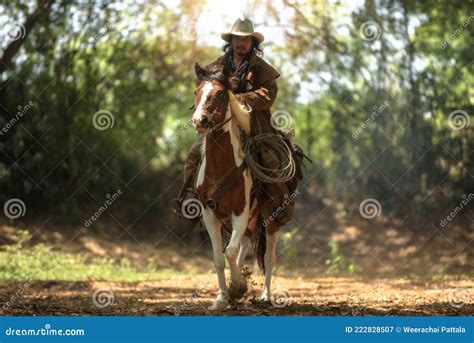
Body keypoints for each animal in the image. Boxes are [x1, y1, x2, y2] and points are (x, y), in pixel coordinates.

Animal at [191, 62, 280, 312]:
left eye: (221, 94)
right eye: (196, 92)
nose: (199, 120)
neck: (221, 168)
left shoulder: (240, 211)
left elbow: (229, 251)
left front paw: (239, 286)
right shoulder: (211, 214)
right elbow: (219, 257)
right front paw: (223, 297)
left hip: (270, 218)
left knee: (268, 257)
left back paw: (265, 296)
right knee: (245, 243)